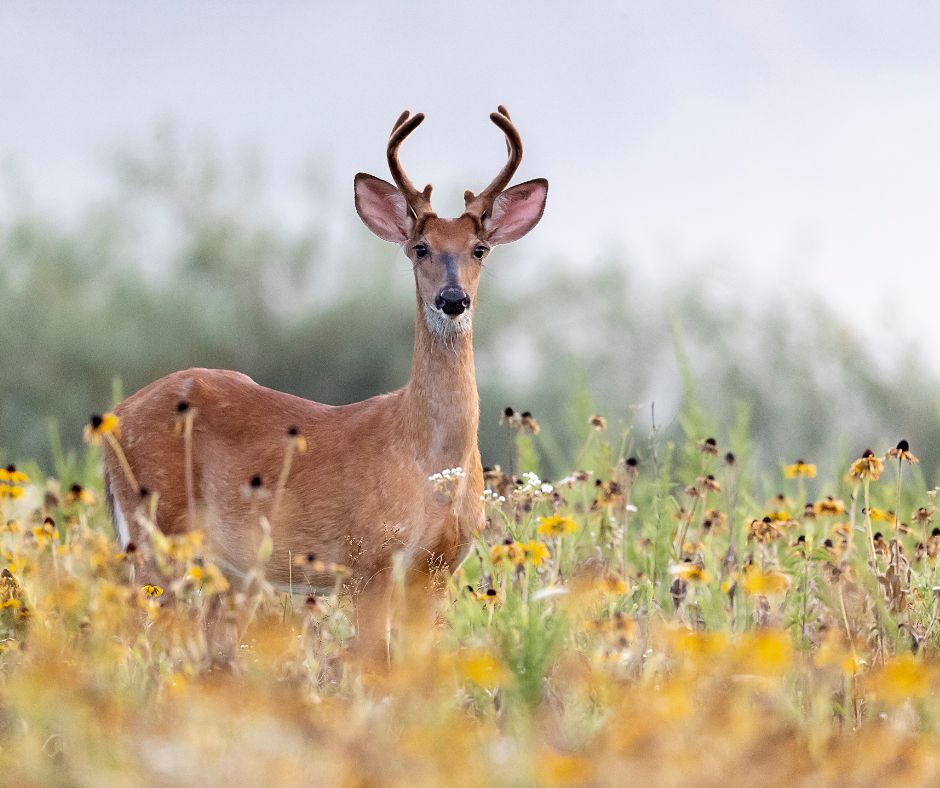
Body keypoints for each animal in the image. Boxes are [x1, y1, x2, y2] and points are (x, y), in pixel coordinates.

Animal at [103, 104, 548, 596]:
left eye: (479, 249)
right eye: (420, 248)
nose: (453, 299)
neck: (429, 464)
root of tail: (114, 416)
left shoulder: (437, 569)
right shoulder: (367, 560)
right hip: (156, 528)